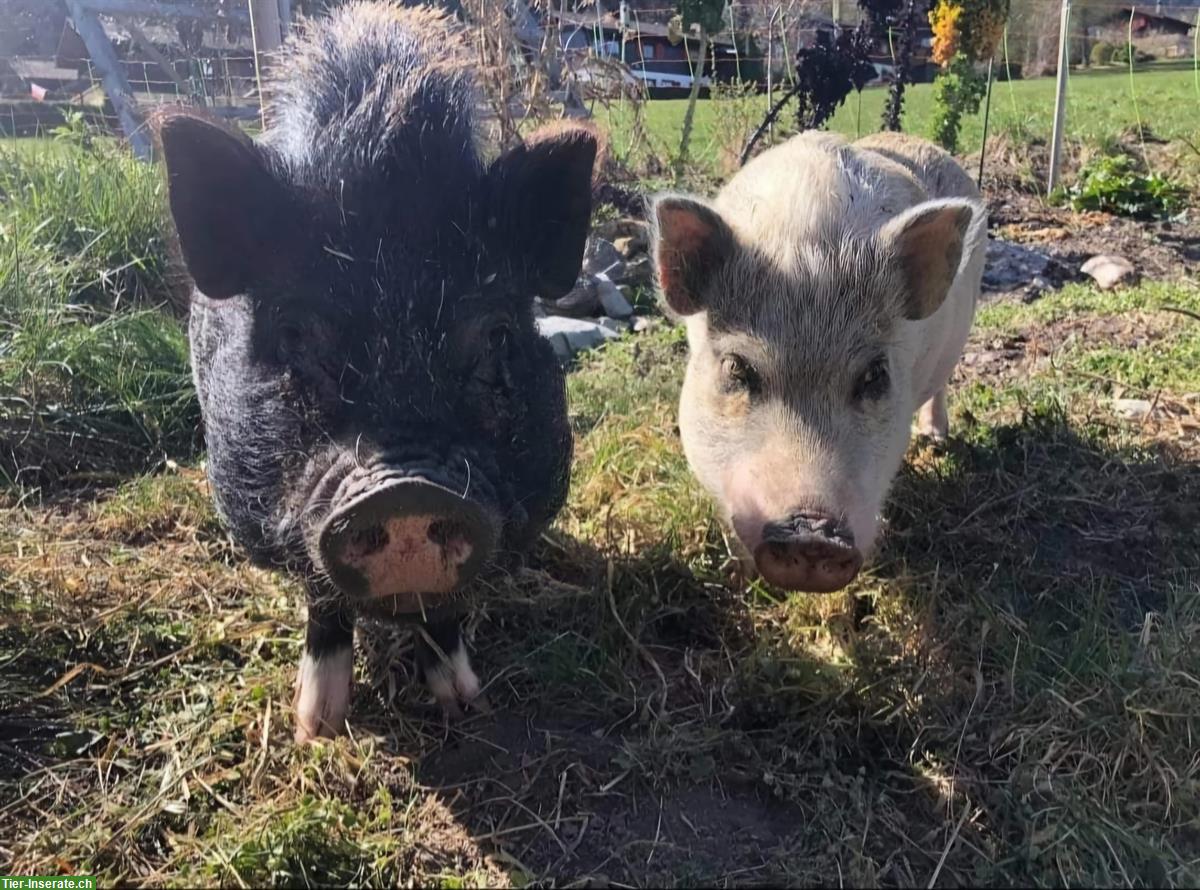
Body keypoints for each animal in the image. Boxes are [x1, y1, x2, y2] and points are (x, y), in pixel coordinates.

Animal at [154, 1, 595, 743]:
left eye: (496, 334)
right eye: (295, 336)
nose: (406, 492)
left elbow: (444, 610)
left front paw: (466, 705)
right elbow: (321, 601)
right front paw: (315, 729)